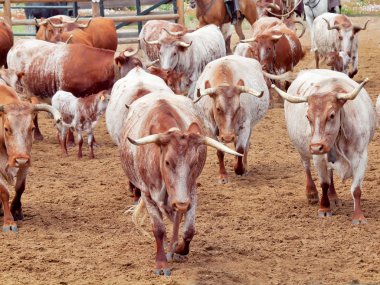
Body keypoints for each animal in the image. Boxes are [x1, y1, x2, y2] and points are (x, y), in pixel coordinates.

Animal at [0, 81, 63, 231]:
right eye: (6, 128)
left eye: (32, 128)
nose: (20, 159)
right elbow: (4, 191)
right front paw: (9, 221)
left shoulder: (25, 164)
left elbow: (20, 188)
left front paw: (16, 211)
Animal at [272, 67, 376, 223]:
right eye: (307, 116)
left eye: (332, 115)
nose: (316, 147)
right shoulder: (318, 157)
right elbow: (324, 183)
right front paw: (324, 208)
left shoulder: (361, 156)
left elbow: (356, 189)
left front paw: (358, 216)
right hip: (302, 149)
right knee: (306, 167)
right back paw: (312, 193)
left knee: (330, 172)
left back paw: (333, 197)